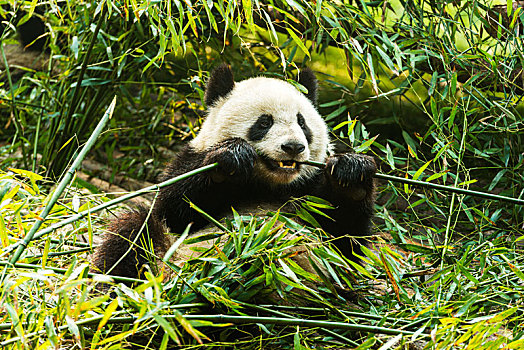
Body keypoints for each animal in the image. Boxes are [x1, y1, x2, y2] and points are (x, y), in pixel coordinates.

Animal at [91, 64, 376, 280]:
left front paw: (352, 172)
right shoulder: (189, 160)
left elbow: (346, 242)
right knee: (133, 234)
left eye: (302, 123)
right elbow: (174, 210)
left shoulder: (308, 190)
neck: (270, 184)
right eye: (264, 122)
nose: (293, 147)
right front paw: (232, 158)